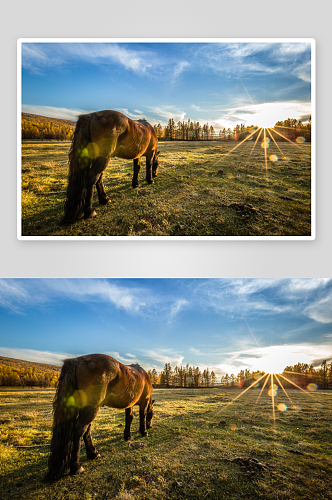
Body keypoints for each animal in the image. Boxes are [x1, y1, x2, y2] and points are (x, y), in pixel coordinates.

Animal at [45, 352, 154, 480]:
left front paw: (127, 436)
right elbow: (143, 416)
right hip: (93, 407)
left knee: (86, 429)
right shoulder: (144, 401)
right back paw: (76, 466)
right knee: (80, 429)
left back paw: (93, 453)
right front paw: (144, 431)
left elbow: (129, 419)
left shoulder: (129, 404)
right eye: (152, 415)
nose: (150, 426)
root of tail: (77, 360)